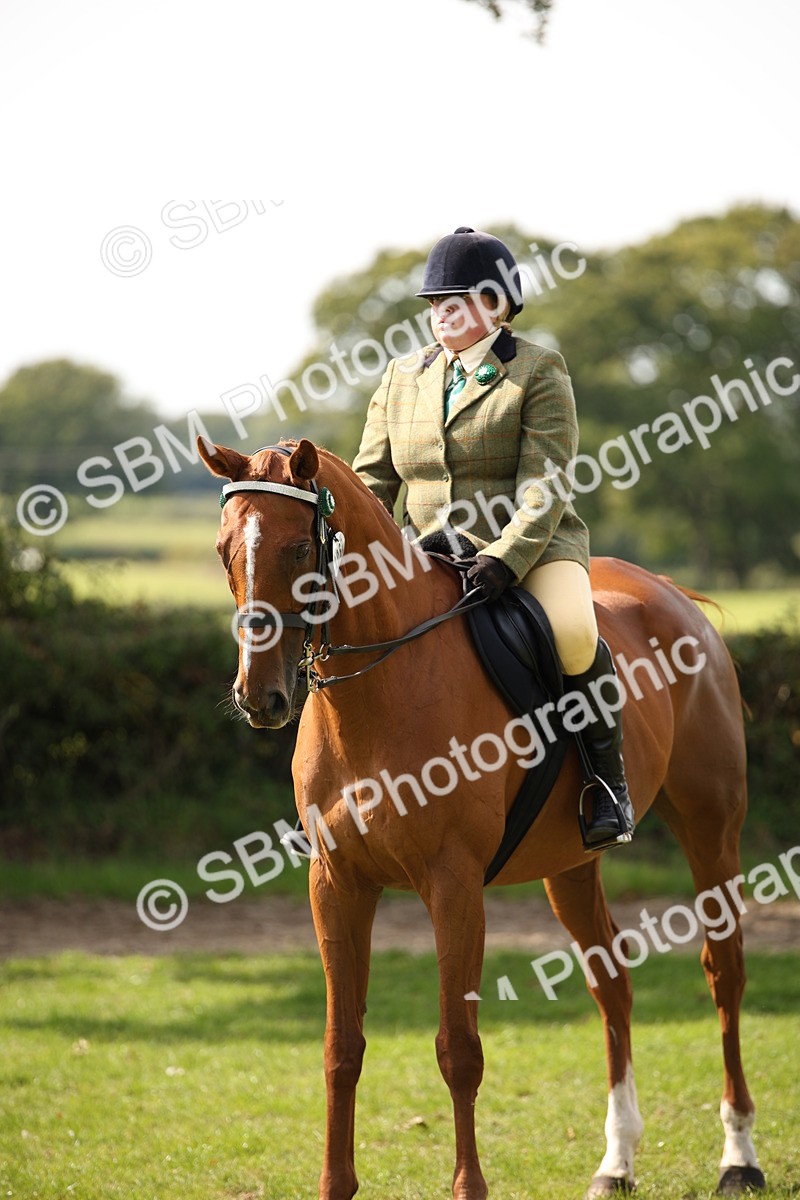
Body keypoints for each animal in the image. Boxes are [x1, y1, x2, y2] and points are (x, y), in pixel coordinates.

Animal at [198, 434, 765, 1200]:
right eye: (225, 549)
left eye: (295, 550)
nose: (261, 697)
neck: (379, 690)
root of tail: (674, 595)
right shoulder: (336, 885)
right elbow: (341, 1047)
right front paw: (336, 1183)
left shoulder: (454, 886)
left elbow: (458, 1050)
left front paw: (469, 1185)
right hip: (571, 864)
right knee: (611, 983)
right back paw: (616, 1162)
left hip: (711, 830)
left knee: (723, 972)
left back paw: (739, 1156)